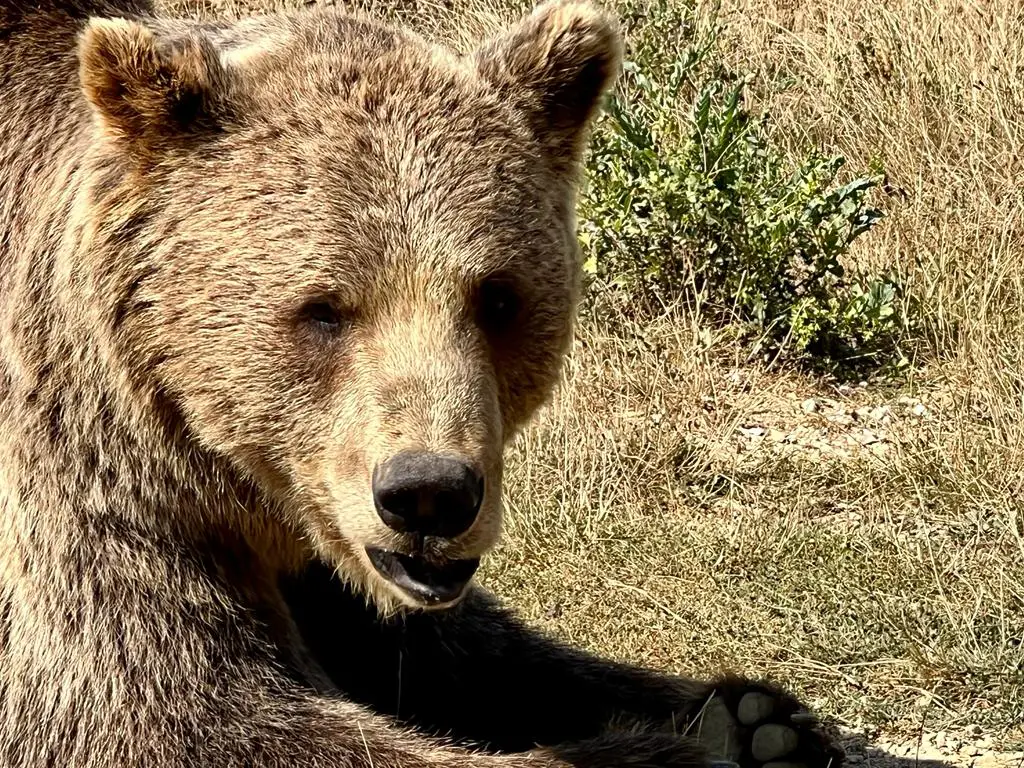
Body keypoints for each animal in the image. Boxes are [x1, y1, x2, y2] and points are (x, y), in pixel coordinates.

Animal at [0, 0, 846, 765]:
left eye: (497, 297)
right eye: (323, 308)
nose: (430, 493)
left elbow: (464, 649)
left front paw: (753, 718)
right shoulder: (95, 498)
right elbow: (180, 711)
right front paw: (682, 747)